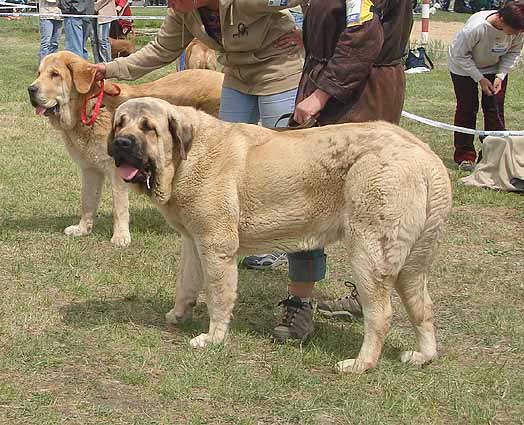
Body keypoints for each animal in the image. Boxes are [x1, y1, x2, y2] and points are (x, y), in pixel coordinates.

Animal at [27, 51, 223, 247]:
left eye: (55, 74)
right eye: (39, 73)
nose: (31, 89)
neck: (89, 108)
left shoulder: (117, 170)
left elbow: (119, 206)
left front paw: (120, 236)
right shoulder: (90, 169)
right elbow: (87, 201)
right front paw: (82, 229)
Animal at [108, 97, 452, 372]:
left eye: (148, 128)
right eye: (119, 124)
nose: (121, 143)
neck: (185, 158)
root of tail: (426, 157)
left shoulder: (216, 247)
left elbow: (218, 296)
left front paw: (213, 337)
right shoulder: (194, 241)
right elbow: (186, 283)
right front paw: (178, 314)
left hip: (370, 255)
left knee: (381, 315)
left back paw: (360, 364)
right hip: (413, 264)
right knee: (423, 308)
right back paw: (422, 356)